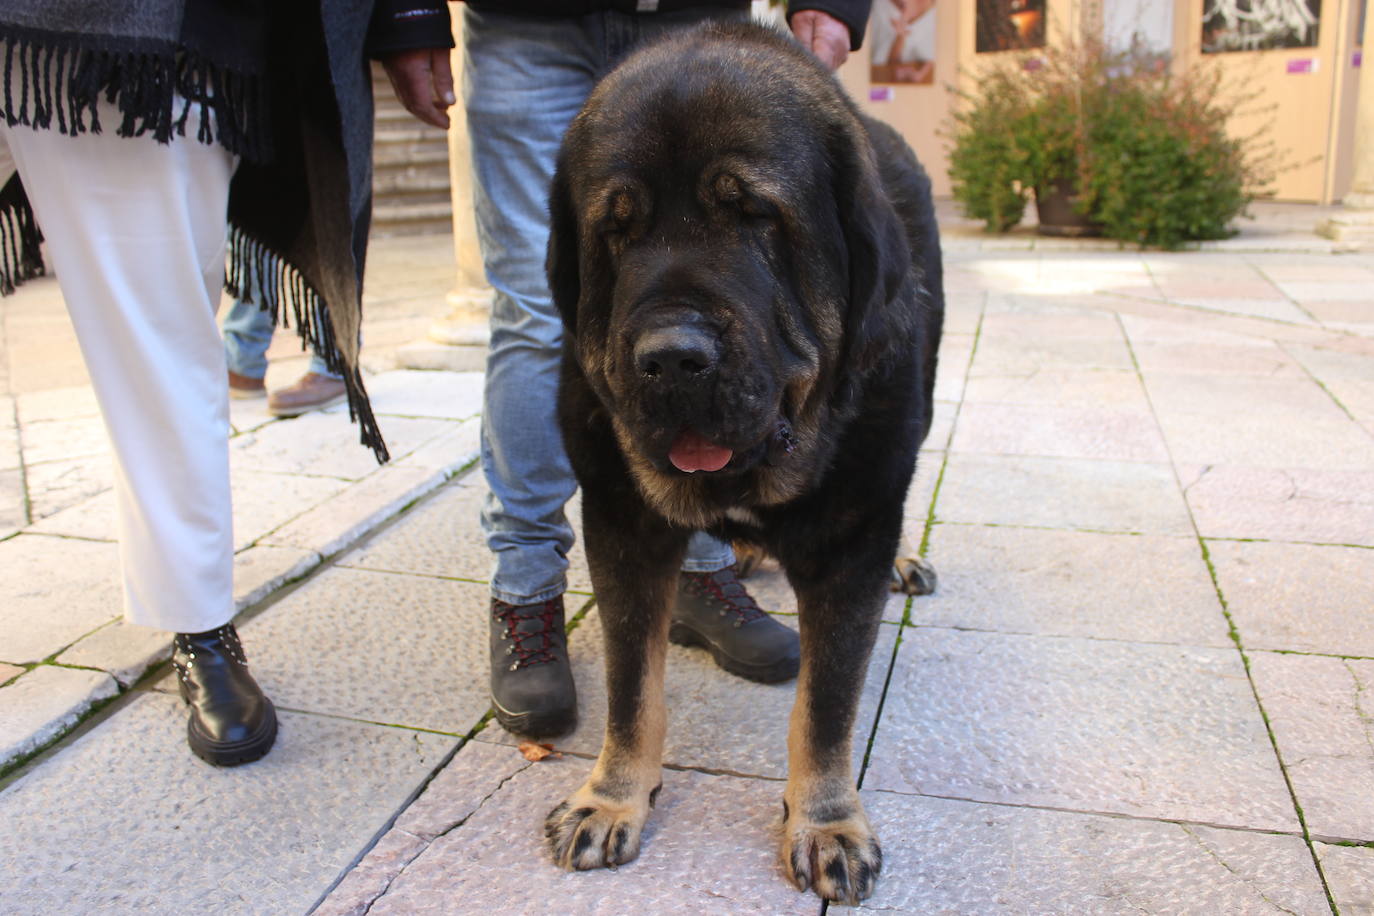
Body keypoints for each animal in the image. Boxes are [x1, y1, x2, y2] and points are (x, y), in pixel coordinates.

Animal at [541, 19, 939, 900]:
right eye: (617, 230)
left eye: (755, 215)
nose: (671, 359)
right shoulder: (621, 529)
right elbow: (630, 689)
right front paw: (613, 796)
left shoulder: (851, 545)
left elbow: (826, 706)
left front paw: (826, 821)